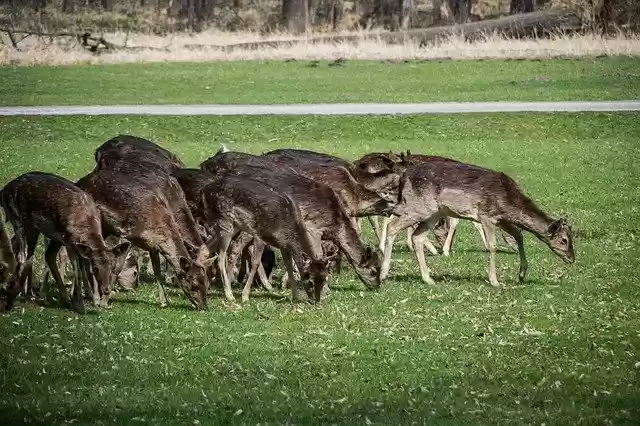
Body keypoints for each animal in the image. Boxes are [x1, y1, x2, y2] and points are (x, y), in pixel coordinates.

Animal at [380, 161, 576, 288]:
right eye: (564, 240)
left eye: (572, 238)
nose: (572, 258)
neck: (509, 203)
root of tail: (404, 177)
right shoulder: (486, 215)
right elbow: (493, 245)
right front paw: (495, 281)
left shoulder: (502, 218)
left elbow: (519, 235)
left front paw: (521, 274)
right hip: (419, 207)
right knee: (392, 225)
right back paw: (383, 273)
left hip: (433, 213)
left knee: (417, 237)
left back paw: (428, 279)